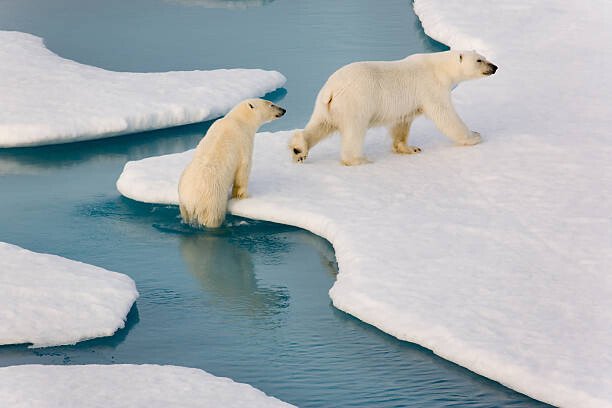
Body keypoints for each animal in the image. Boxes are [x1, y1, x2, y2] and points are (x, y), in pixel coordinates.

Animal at [178, 97, 286, 228]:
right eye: (271, 104)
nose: (283, 110)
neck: (237, 120)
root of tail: (191, 201)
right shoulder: (244, 141)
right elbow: (243, 171)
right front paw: (244, 196)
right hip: (212, 200)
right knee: (213, 217)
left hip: (182, 199)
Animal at [292, 50, 498, 165]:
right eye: (479, 60)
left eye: (484, 57)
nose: (495, 67)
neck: (439, 68)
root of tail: (332, 89)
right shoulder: (431, 86)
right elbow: (445, 115)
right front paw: (474, 136)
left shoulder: (407, 104)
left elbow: (402, 122)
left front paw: (410, 148)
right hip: (355, 101)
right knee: (354, 130)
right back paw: (358, 160)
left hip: (326, 106)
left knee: (321, 125)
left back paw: (298, 149)